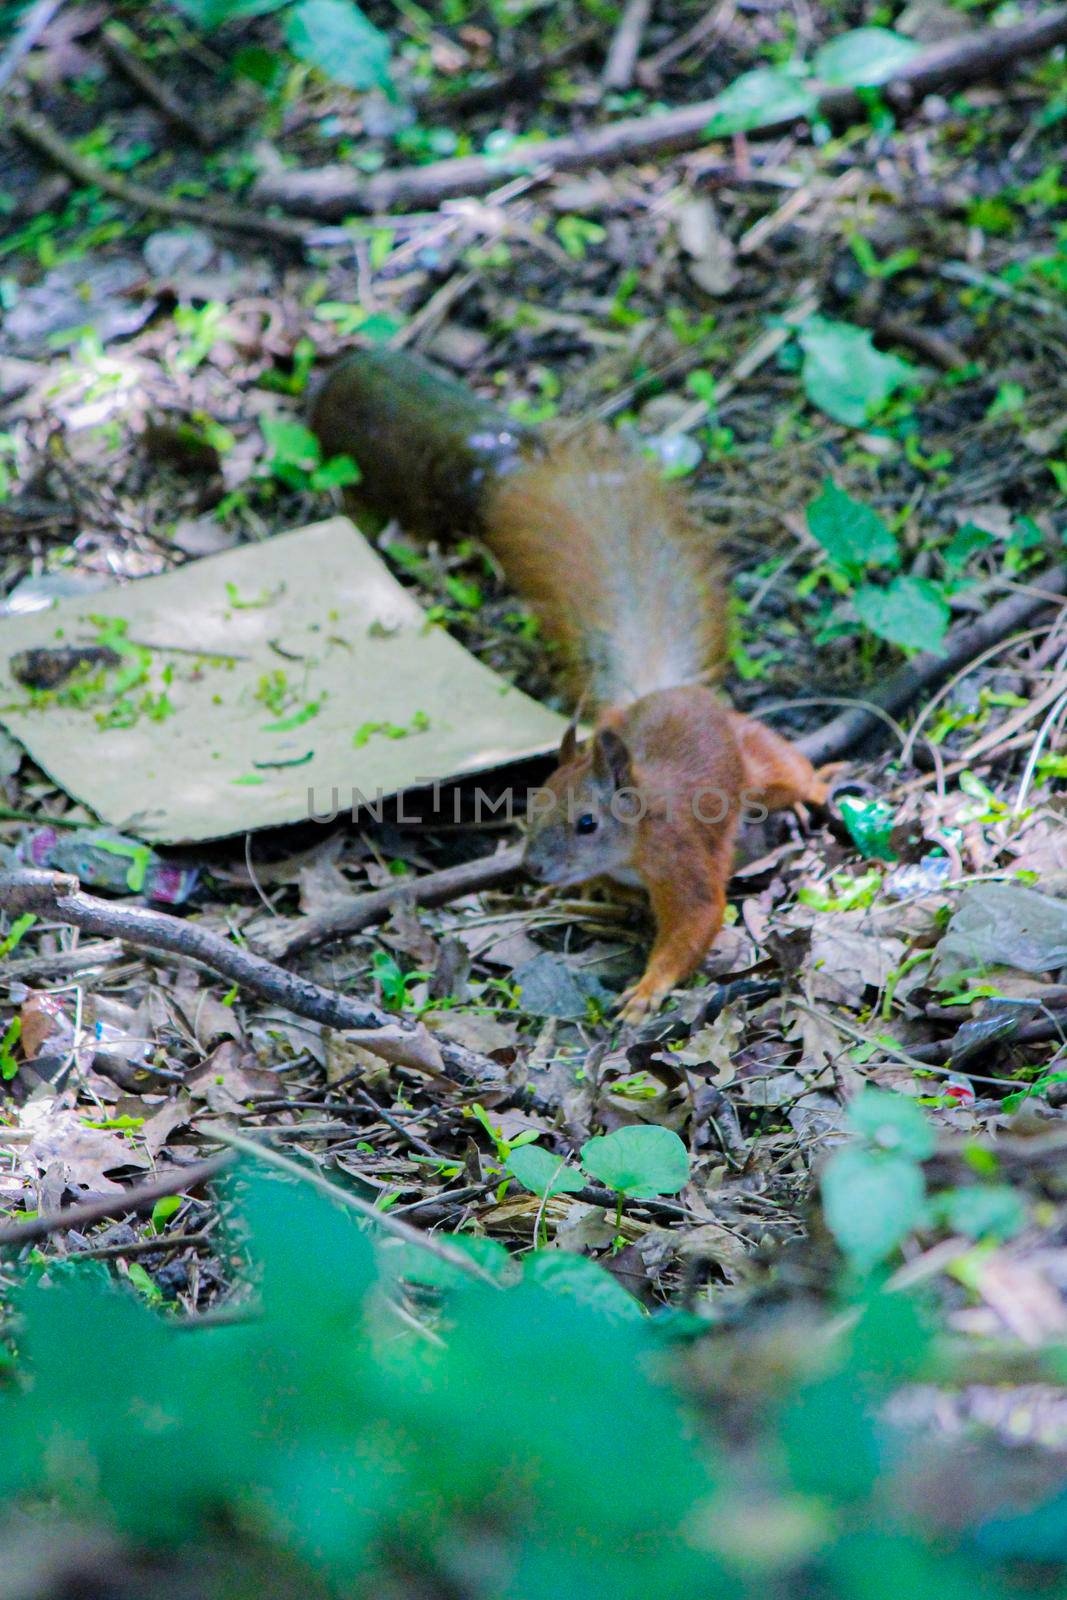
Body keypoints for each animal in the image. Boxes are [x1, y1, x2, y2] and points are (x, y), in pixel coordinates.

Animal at [308, 352, 825, 1024]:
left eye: (586, 823)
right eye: (531, 806)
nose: (533, 866)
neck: (634, 838)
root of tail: (665, 690)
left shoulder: (682, 857)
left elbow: (696, 919)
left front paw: (647, 989)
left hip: (754, 759)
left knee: (788, 769)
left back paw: (823, 784)